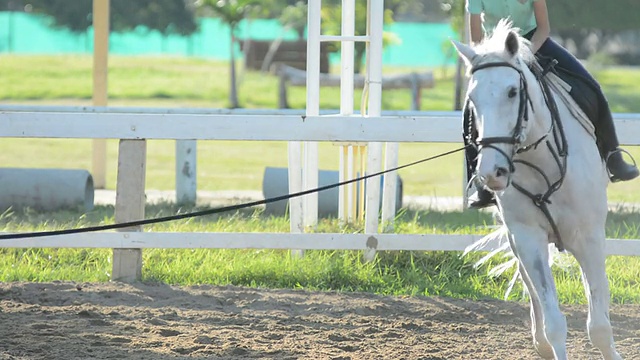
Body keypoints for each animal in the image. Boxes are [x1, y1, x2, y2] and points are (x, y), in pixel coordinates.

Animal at [452, 21, 624, 358]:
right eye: (472, 99)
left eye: (512, 91)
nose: (492, 172)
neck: (541, 161)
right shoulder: (528, 238)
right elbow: (554, 321)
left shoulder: (590, 238)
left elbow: (599, 325)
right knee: (534, 295)